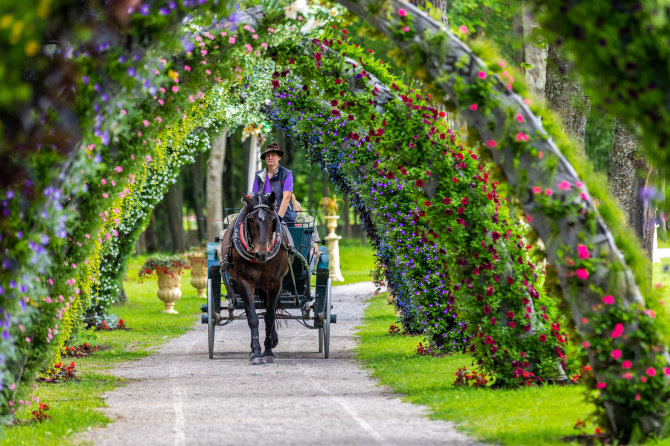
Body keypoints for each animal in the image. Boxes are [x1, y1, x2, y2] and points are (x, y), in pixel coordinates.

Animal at [222, 191, 292, 362]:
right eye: (251, 220)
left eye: (273, 220)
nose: (262, 254)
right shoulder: (244, 282)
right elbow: (253, 317)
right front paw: (256, 351)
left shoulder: (275, 283)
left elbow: (269, 316)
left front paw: (268, 351)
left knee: (269, 310)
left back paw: (272, 339)